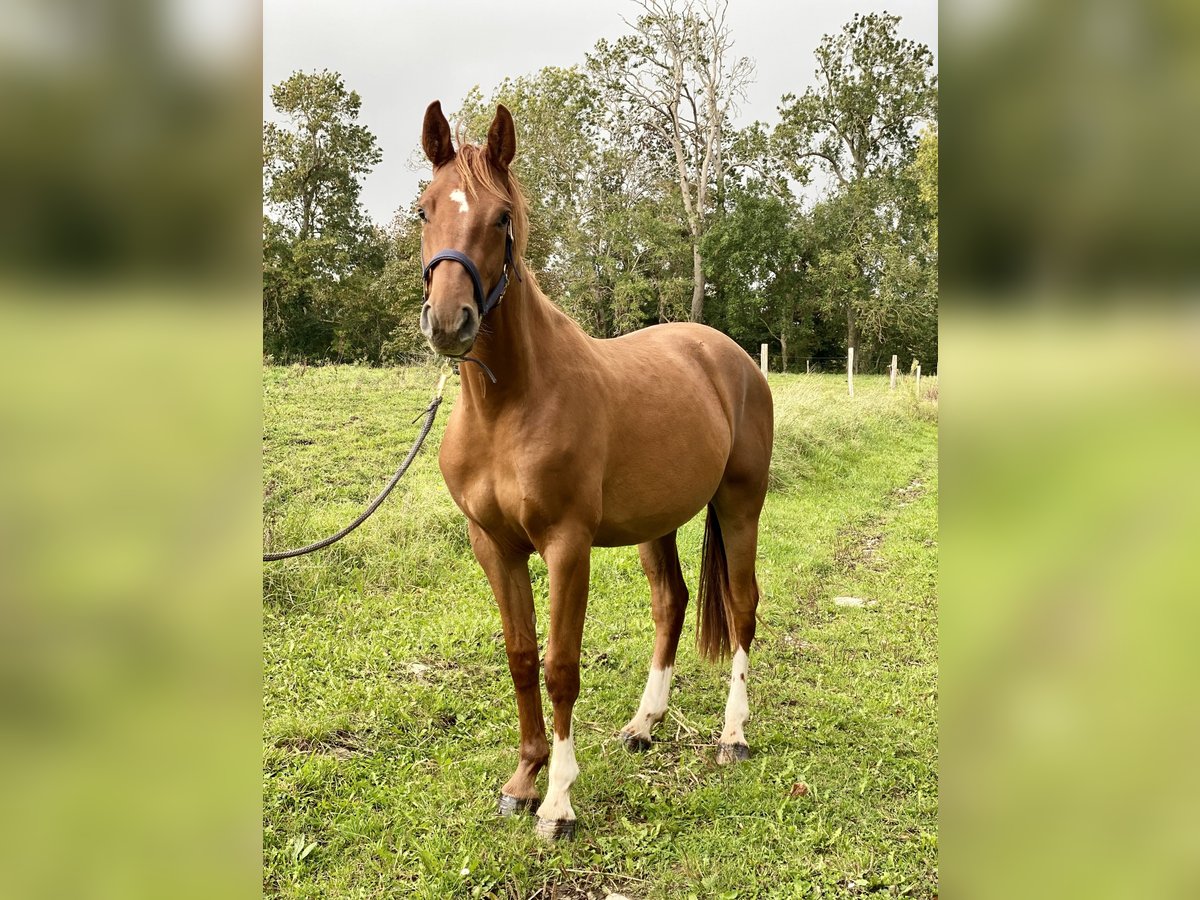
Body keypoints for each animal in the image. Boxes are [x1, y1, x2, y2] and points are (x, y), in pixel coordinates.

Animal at [416, 100, 773, 840]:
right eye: (424, 209)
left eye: (502, 217)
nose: (448, 322)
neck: (509, 406)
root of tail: (730, 357)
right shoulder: (493, 546)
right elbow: (521, 657)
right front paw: (523, 779)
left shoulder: (566, 545)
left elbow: (560, 666)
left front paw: (558, 800)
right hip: (657, 523)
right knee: (672, 602)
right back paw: (645, 723)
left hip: (740, 505)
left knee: (742, 606)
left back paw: (733, 735)